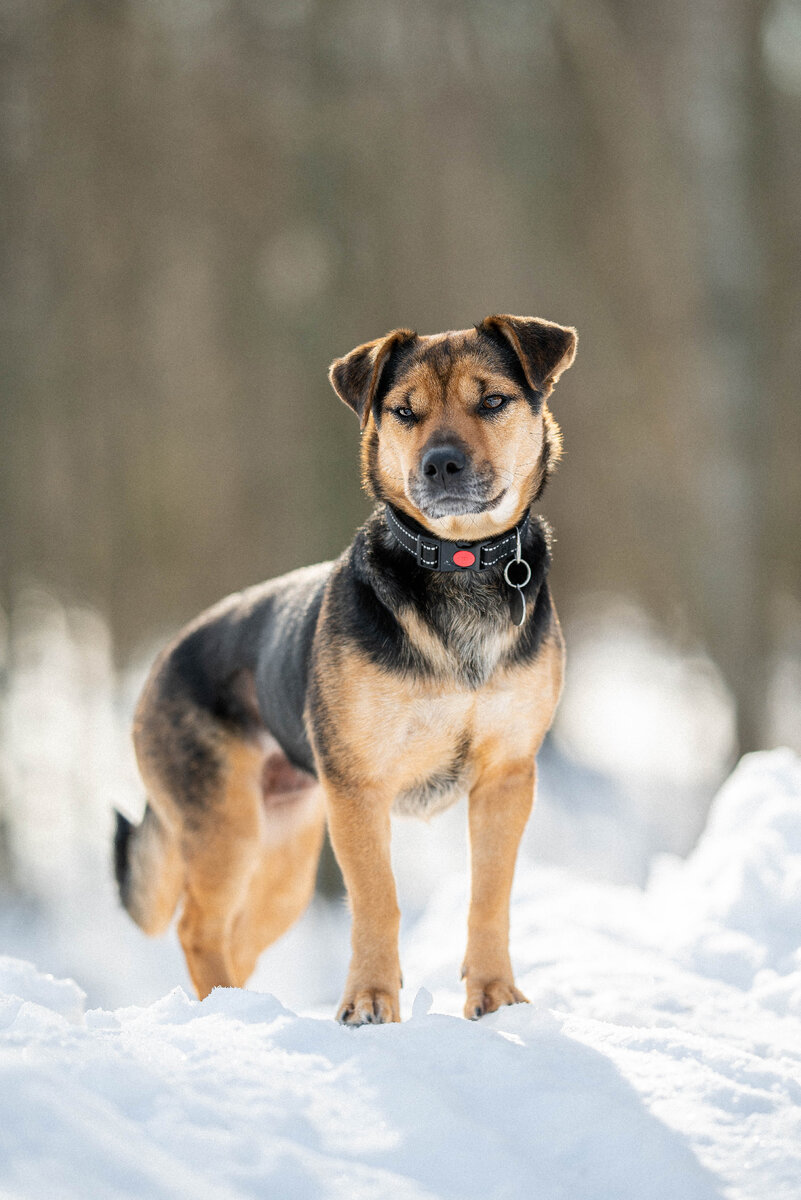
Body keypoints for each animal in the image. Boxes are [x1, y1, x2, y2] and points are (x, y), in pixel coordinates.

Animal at [115, 316, 575, 1022]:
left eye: (493, 401)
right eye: (405, 412)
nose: (441, 463)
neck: (458, 561)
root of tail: (163, 660)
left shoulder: (506, 776)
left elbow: (490, 897)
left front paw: (496, 996)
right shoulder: (359, 789)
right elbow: (377, 901)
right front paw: (369, 1004)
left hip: (286, 852)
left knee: (237, 935)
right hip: (227, 827)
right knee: (199, 928)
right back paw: (225, 1011)